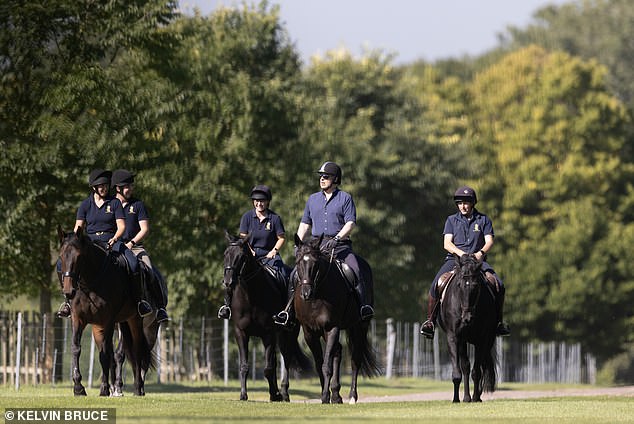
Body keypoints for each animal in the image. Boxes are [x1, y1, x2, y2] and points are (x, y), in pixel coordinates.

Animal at [57, 227, 156, 396]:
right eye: (61, 256)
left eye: (79, 256)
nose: (68, 291)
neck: (90, 283)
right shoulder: (78, 319)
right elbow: (76, 348)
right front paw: (78, 387)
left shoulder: (108, 320)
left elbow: (105, 354)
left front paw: (104, 389)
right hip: (110, 324)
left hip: (135, 320)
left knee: (136, 350)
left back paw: (138, 387)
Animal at [222, 232, 312, 400]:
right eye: (225, 254)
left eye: (241, 256)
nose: (228, 282)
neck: (250, 296)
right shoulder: (241, 332)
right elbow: (244, 366)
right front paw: (243, 395)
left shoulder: (268, 334)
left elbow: (268, 368)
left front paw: (275, 394)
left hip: (287, 334)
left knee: (286, 358)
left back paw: (283, 392)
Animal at [292, 235, 378, 404]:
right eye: (298, 262)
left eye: (315, 263)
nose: (306, 293)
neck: (317, 296)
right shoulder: (309, 333)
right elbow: (320, 364)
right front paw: (326, 394)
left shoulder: (332, 328)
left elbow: (326, 365)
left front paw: (325, 397)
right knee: (338, 351)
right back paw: (336, 395)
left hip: (360, 327)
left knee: (355, 360)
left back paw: (351, 396)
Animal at [436, 253, 496, 402]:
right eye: (459, 285)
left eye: (476, 286)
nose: (467, 318)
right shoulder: (454, 337)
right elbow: (460, 370)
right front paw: (457, 399)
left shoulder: (482, 339)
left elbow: (476, 371)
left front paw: (475, 398)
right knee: (466, 366)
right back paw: (466, 397)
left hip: (489, 340)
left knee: (481, 366)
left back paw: (477, 395)